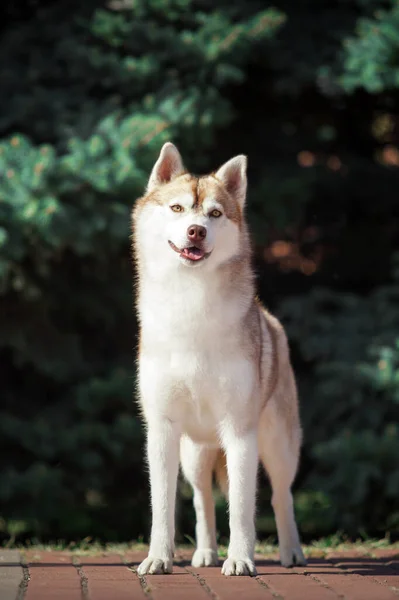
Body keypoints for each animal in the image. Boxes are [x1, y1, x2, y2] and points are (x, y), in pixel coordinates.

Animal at [134, 142, 306, 576]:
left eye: (214, 214)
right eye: (178, 208)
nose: (196, 230)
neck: (190, 306)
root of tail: (270, 319)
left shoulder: (240, 430)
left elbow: (244, 507)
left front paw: (241, 559)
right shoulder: (162, 428)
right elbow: (163, 505)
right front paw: (159, 558)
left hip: (277, 444)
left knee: (280, 495)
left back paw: (291, 552)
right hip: (194, 453)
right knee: (203, 498)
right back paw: (206, 553)